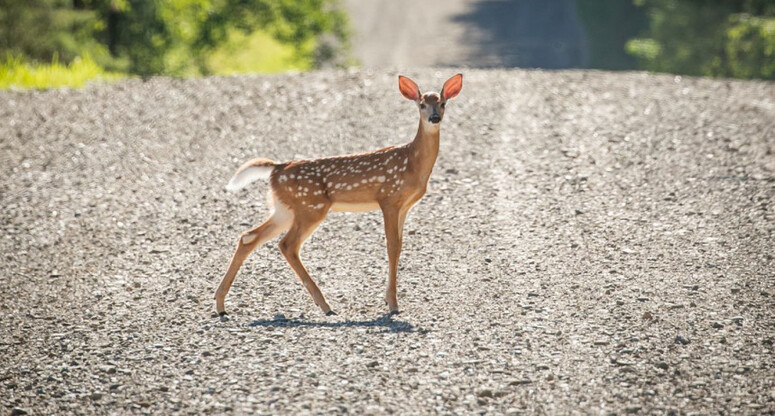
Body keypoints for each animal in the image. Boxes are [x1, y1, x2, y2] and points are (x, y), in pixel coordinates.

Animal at [215, 74, 464, 316]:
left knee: (248, 237)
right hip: (310, 207)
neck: (412, 163)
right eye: (421, 104)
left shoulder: (404, 206)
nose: (434, 118)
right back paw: (325, 305)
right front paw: (393, 304)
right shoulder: (388, 198)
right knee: (287, 245)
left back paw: (220, 304)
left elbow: (400, 246)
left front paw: (389, 299)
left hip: (284, 209)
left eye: (443, 103)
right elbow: (392, 246)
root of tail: (276, 168)